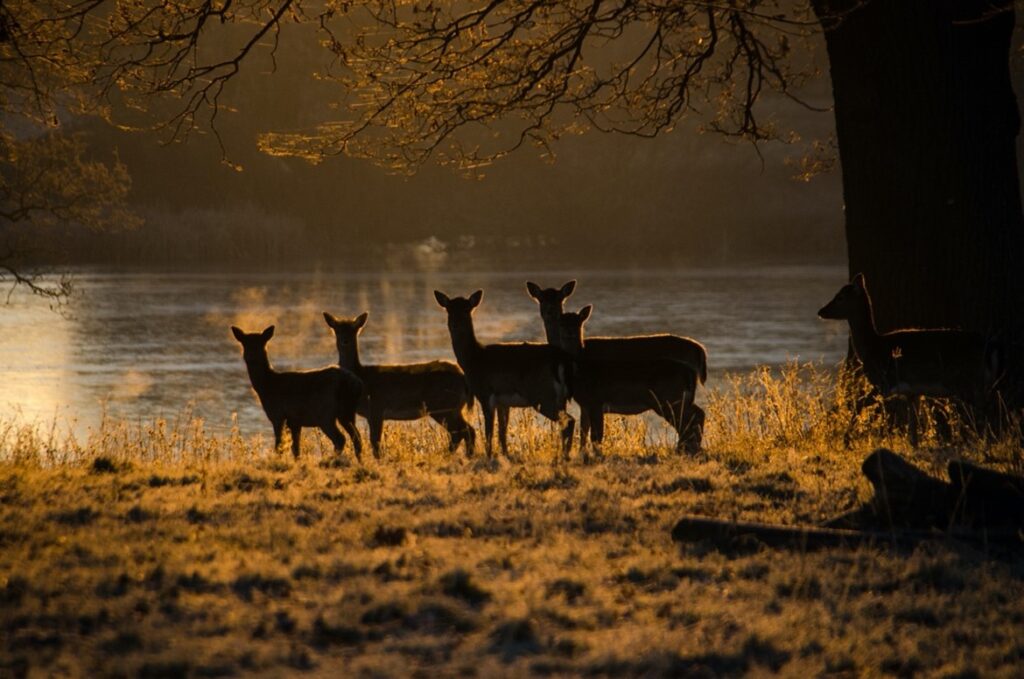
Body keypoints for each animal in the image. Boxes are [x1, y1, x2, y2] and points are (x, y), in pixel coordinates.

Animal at [231, 325, 363, 461]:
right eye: (245, 343)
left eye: (261, 344)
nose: (251, 356)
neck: (267, 386)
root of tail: (356, 383)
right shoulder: (295, 422)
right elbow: (296, 449)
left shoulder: (278, 415)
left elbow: (279, 447)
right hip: (347, 412)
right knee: (357, 438)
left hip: (325, 414)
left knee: (340, 439)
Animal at [322, 311, 475, 458]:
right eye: (337, 330)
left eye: (354, 329)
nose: (345, 341)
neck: (362, 377)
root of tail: (463, 378)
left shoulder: (376, 409)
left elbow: (375, 443)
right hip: (452, 408)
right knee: (464, 431)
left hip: (443, 406)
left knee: (463, 431)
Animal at [433, 289, 575, 459]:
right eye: (449, 309)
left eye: (467, 309)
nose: (456, 324)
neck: (474, 358)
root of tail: (561, 359)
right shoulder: (503, 403)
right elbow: (502, 432)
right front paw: (505, 455)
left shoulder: (485, 394)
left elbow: (489, 432)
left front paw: (489, 456)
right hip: (558, 397)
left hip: (541, 395)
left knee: (569, 421)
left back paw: (565, 455)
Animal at [558, 306, 702, 458]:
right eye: (561, 322)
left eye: (578, 321)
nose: (569, 332)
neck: (580, 371)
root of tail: (690, 372)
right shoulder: (585, 404)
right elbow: (584, 432)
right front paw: (583, 454)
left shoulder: (596, 401)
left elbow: (596, 435)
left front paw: (598, 455)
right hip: (676, 399)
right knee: (695, 416)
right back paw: (688, 448)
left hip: (668, 398)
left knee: (692, 418)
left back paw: (687, 449)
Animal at [817, 273, 1001, 445]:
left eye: (840, 297)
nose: (821, 311)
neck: (873, 348)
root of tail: (988, 348)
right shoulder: (912, 392)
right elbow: (913, 426)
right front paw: (914, 446)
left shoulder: (884, 382)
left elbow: (858, 405)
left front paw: (846, 439)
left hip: (966, 381)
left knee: (986, 410)